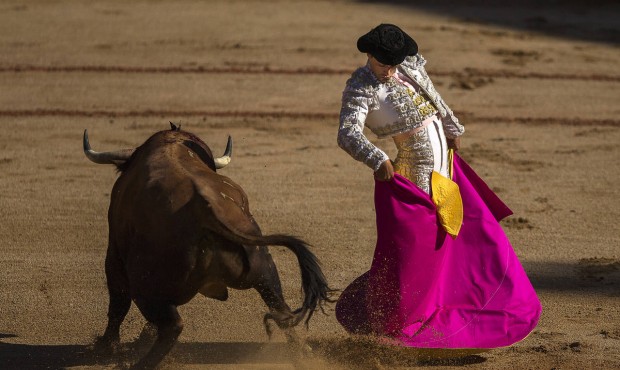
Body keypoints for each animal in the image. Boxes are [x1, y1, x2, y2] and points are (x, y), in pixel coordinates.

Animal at [86, 123, 334, 368]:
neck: (171, 144)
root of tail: (204, 209)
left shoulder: (114, 255)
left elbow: (118, 304)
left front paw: (106, 347)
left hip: (144, 286)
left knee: (170, 325)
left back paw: (140, 363)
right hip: (265, 271)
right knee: (281, 311)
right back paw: (302, 355)